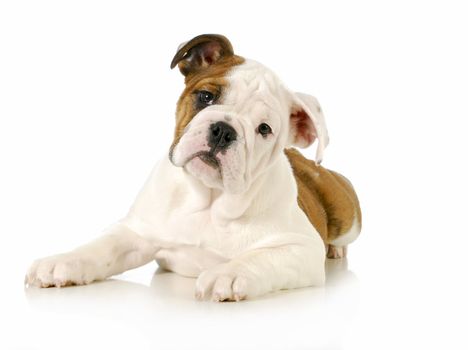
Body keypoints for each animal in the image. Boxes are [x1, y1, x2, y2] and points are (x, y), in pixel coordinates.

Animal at [25, 34, 362, 300]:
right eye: (206, 96)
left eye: (264, 129)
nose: (224, 130)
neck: (209, 198)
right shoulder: (136, 233)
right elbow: (102, 248)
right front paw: (62, 262)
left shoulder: (300, 247)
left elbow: (262, 258)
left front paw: (229, 274)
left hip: (349, 219)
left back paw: (336, 249)